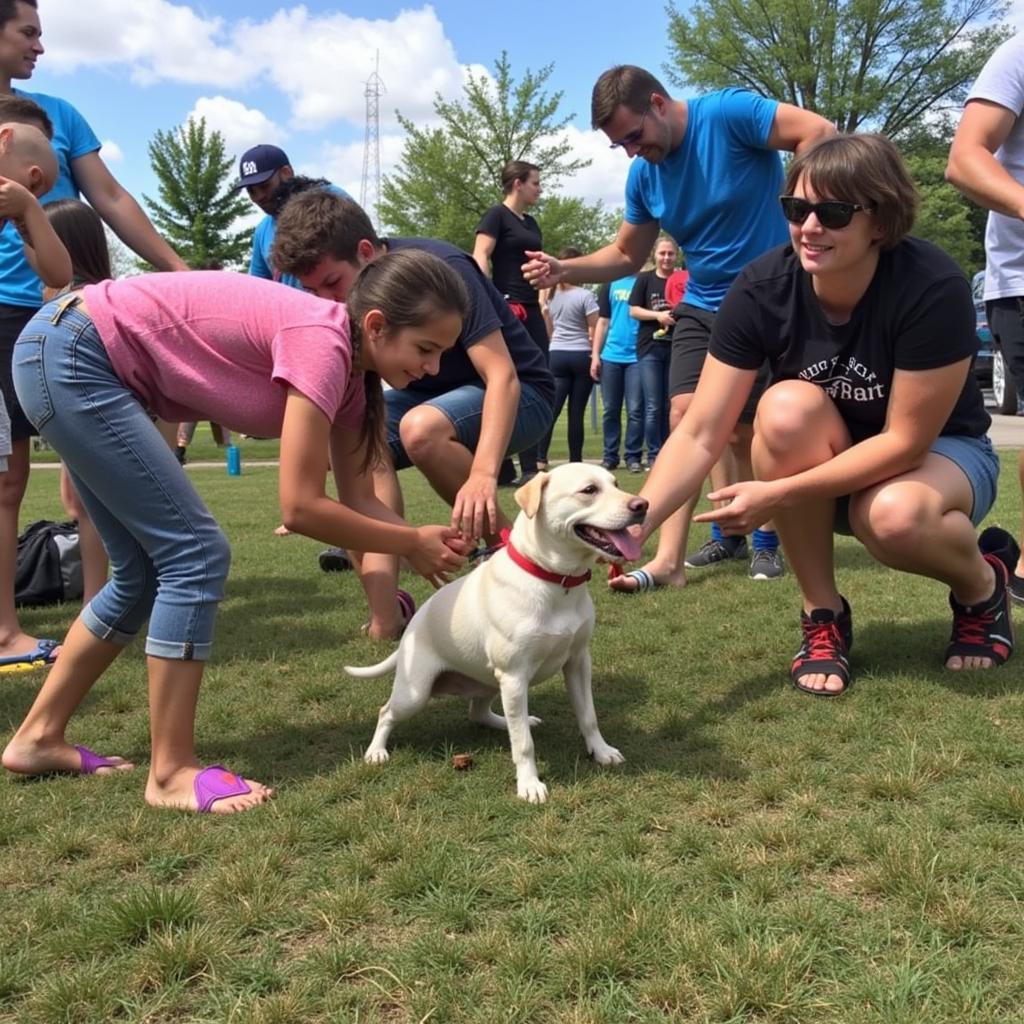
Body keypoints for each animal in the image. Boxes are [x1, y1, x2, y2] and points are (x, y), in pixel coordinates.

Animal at [344, 462, 647, 798]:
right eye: (589, 490)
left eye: (616, 483)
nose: (642, 505)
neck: (554, 580)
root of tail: (411, 630)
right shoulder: (514, 676)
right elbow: (524, 744)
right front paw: (529, 784)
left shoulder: (578, 662)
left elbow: (588, 716)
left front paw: (601, 751)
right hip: (415, 693)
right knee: (386, 712)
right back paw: (376, 751)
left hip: (489, 682)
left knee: (481, 713)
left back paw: (512, 720)